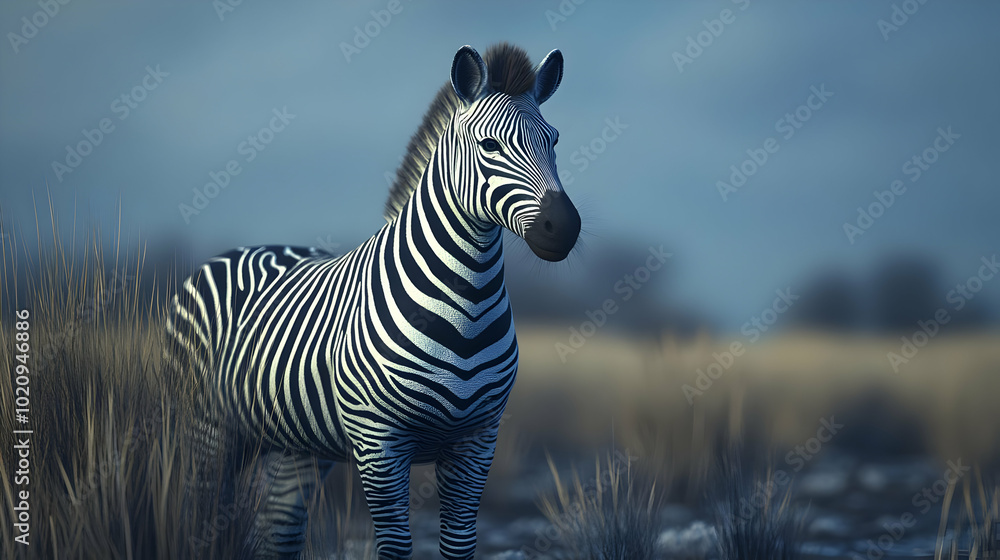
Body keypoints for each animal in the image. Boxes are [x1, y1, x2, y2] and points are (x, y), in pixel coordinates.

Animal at [165, 42, 580, 559]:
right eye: (489, 146)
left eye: (554, 141)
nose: (564, 228)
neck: (463, 308)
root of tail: (239, 251)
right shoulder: (380, 442)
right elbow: (396, 546)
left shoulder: (477, 440)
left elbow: (460, 544)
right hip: (206, 429)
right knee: (200, 514)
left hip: (297, 446)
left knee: (278, 530)